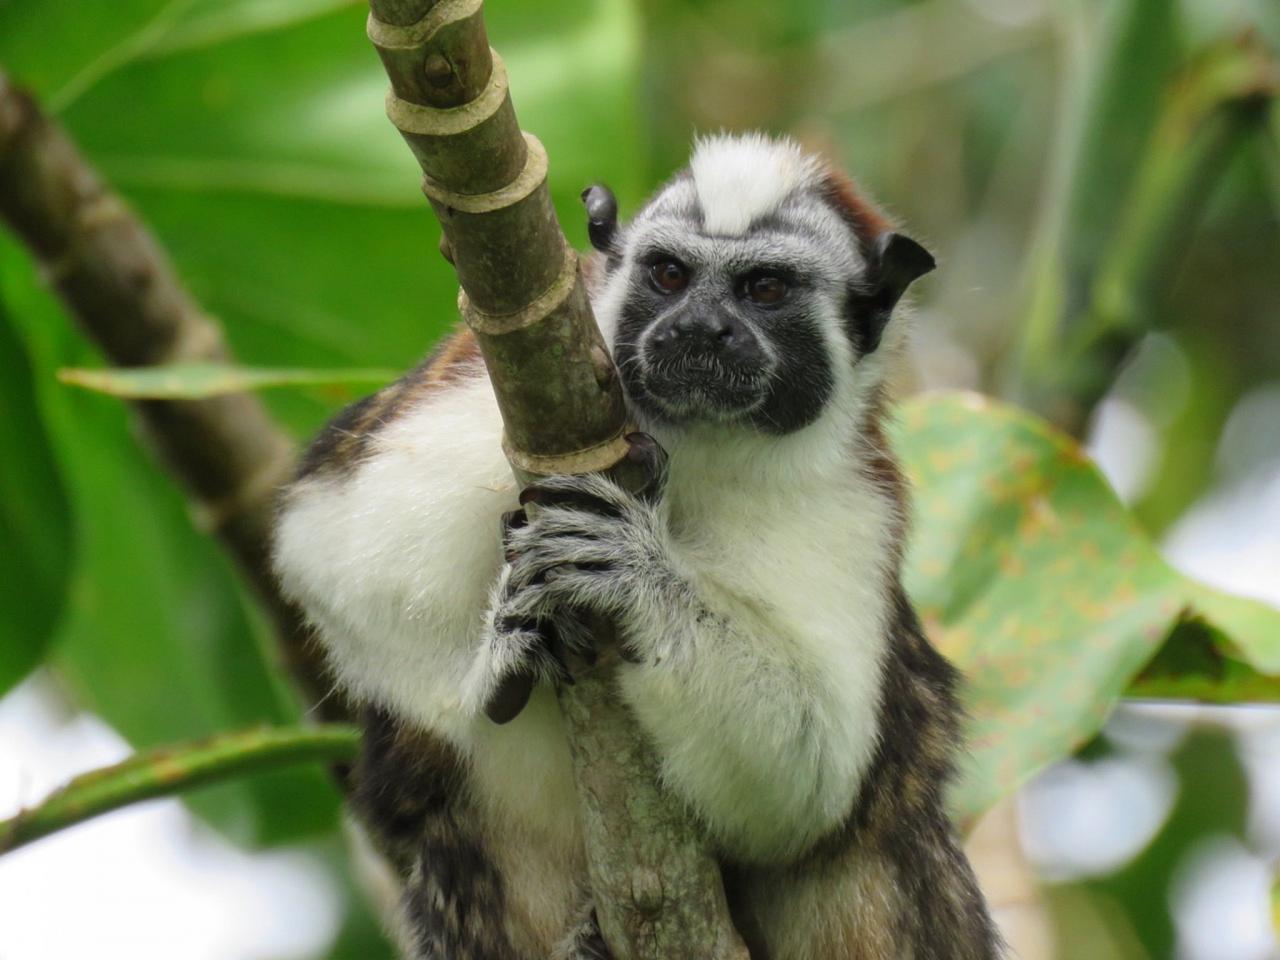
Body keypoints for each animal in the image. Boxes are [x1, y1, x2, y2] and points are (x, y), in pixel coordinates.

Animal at [275, 135, 1003, 960]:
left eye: (764, 289)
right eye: (670, 275)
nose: (699, 330)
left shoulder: (856, 505)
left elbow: (808, 784)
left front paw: (634, 571)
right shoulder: (474, 392)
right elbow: (334, 545)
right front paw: (504, 658)